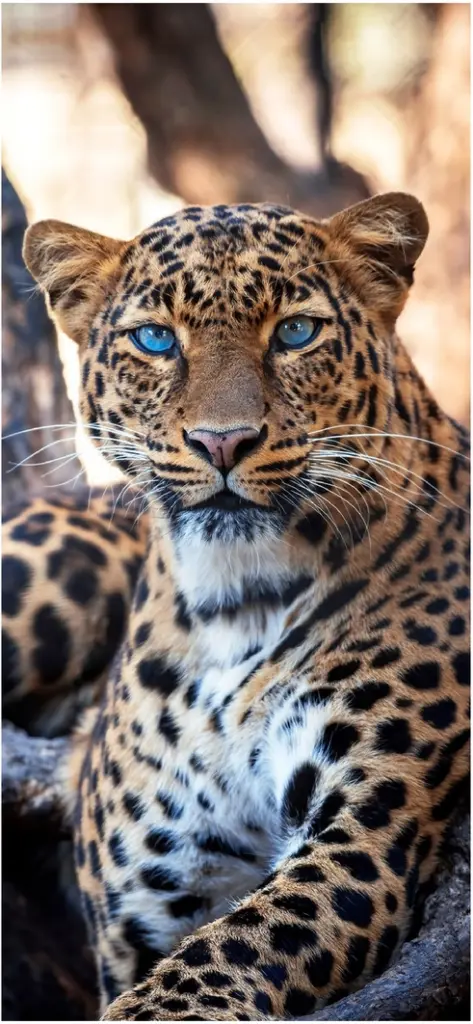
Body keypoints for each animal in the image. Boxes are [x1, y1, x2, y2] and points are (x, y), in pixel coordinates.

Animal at [21, 192, 469, 1021]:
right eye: (155, 339)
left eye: (294, 332)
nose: (221, 442)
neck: (234, 605)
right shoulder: (154, 898)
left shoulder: (368, 829)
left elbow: (225, 952)